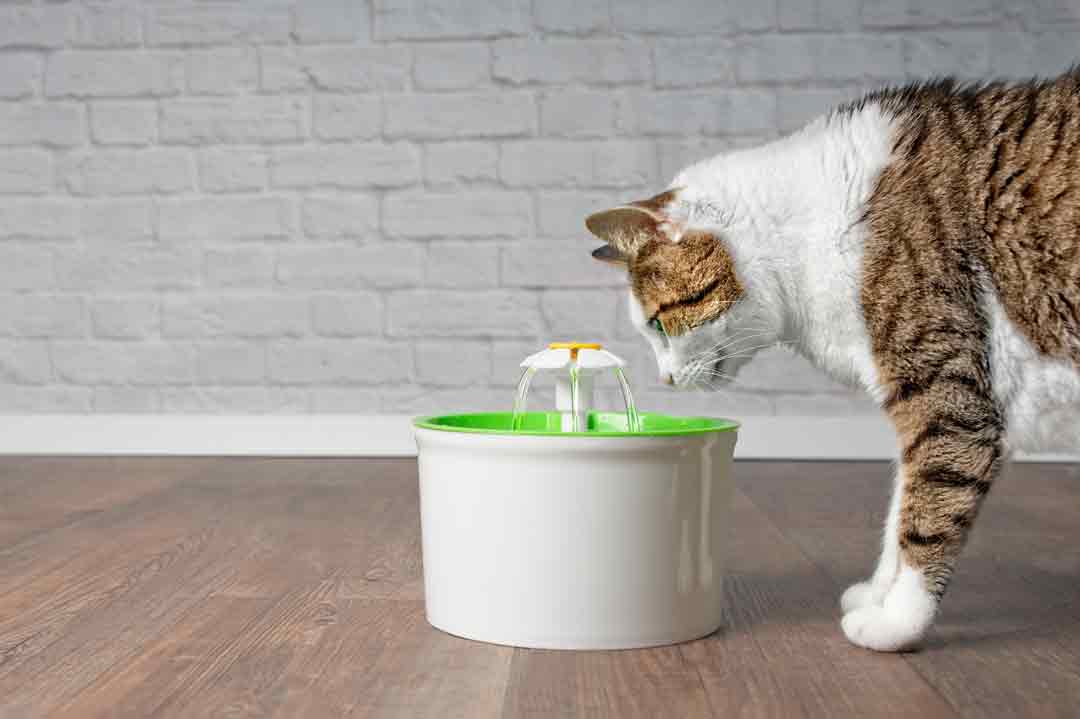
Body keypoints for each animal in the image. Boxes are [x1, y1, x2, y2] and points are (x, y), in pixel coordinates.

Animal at [587, 70, 1080, 652]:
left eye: (659, 325)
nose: (664, 379)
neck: (806, 233)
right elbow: (899, 510)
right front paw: (878, 594)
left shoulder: (946, 398)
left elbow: (929, 508)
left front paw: (898, 621)